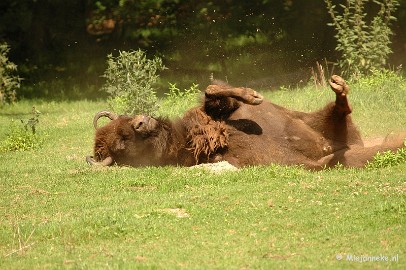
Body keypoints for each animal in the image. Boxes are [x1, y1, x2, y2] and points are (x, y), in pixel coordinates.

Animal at [87, 75, 404, 170]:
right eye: (121, 144)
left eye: (125, 120)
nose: (142, 122)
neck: (185, 139)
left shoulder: (213, 111)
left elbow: (213, 90)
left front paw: (253, 96)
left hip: (319, 119)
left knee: (337, 112)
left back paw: (339, 87)